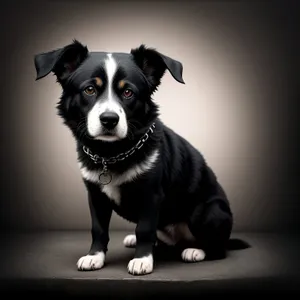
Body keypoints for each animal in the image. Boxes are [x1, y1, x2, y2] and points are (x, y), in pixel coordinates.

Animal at [33, 40, 248, 276]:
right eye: (90, 89)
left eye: (128, 92)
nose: (109, 119)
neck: (111, 154)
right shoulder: (96, 196)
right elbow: (98, 229)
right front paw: (94, 256)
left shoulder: (151, 195)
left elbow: (145, 229)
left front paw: (142, 260)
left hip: (208, 212)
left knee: (218, 248)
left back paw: (196, 251)